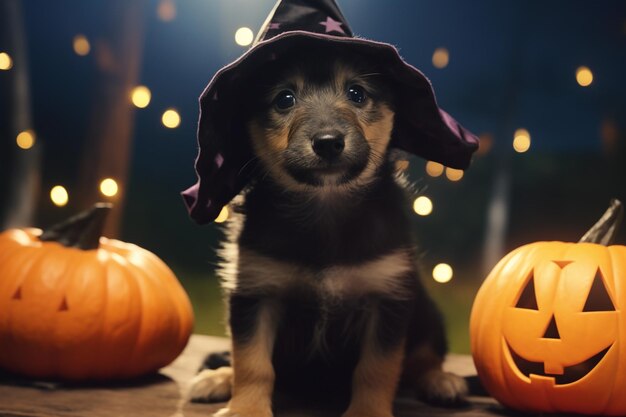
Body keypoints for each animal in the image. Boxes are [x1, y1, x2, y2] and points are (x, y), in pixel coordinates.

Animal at [188, 45, 466, 416]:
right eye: (284, 99)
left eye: (357, 93)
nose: (328, 143)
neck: (325, 204)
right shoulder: (254, 291)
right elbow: (252, 361)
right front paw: (245, 408)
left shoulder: (387, 296)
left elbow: (377, 368)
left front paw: (368, 412)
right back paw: (219, 378)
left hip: (428, 316)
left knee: (423, 360)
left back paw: (440, 380)